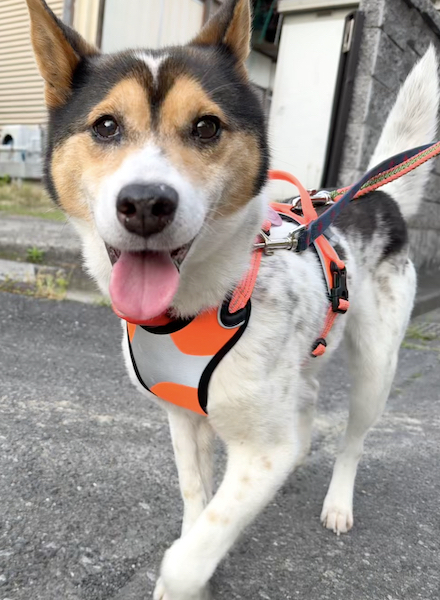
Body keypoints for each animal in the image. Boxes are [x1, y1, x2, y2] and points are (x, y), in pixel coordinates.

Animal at [26, 0, 439, 598]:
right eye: (105, 126)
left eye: (206, 126)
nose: (145, 203)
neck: (196, 305)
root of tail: (378, 197)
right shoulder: (182, 417)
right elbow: (196, 502)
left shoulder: (262, 453)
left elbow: (187, 555)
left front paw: (181, 579)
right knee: (308, 402)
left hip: (377, 365)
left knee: (354, 437)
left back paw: (338, 501)